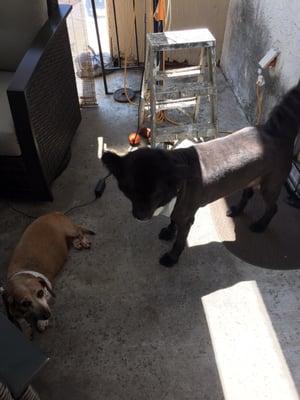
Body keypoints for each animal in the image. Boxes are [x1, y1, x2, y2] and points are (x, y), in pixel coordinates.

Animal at [102, 81, 300, 268]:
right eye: (128, 191)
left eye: (156, 194)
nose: (140, 216)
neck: (178, 185)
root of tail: (272, 131)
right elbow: (172, 220)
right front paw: (169, 231)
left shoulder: (186, 218)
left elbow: (180, 241)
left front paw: (172, 258)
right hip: (250, 177)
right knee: (248, 194)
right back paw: (237, 210)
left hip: (270, 186)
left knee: (273, 208)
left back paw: (260, 225)